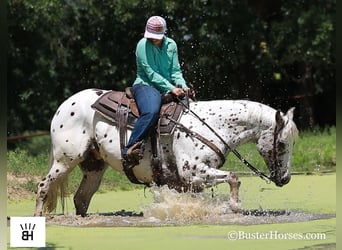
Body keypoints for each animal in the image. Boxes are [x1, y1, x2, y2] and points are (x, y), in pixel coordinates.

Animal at [33, 88, 298, 217]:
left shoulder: (191, 180)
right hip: (64, 160)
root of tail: (64, 105)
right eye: (282, 145)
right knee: (44, 186)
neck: (210, 124)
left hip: (94, 167)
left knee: (81, 198)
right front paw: (235, 206)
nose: (285, 179)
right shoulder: (194, 172)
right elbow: (234, 177)